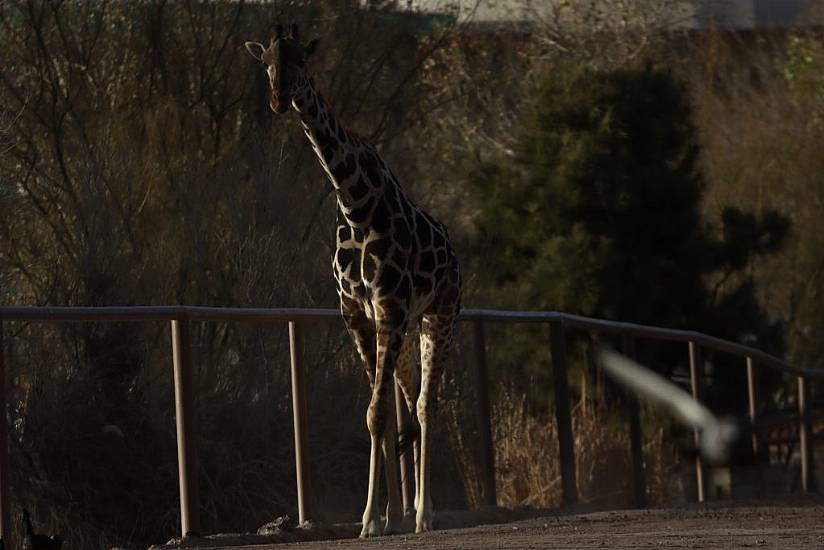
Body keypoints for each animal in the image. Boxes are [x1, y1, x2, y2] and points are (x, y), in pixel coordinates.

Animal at [245, 25, 464, 540]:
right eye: (265, 61)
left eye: (301, 59)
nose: (279, 99)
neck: (355, 205)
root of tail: (453, 250)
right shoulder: (357, 315)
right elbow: (375, 415)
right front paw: (382, 517)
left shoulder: (389, 309)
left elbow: (378, 412)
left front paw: (371, 518)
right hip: (407, 330)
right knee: (409, 399)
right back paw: (407, 512)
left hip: (439, 315)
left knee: (426, 404)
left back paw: (425, 514)